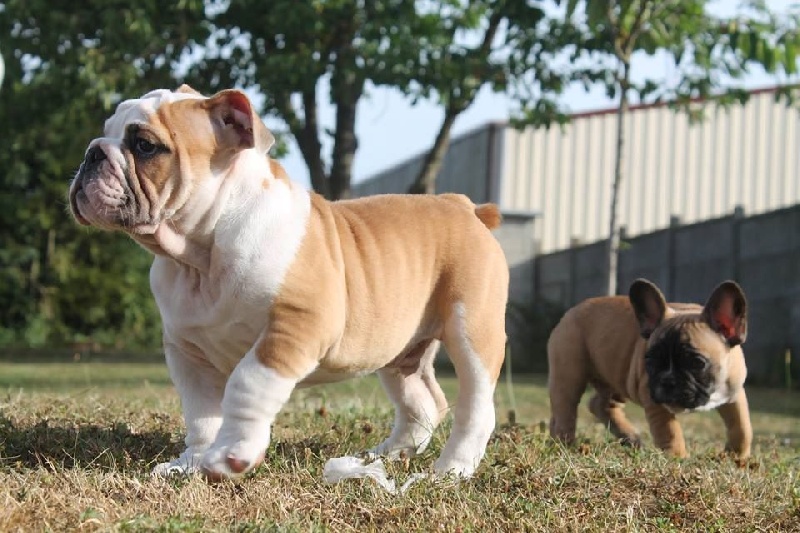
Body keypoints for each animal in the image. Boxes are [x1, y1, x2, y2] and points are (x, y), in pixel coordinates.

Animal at [67, 86, 506, 478]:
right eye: (105, 130)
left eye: (144, 145)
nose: (91, 152)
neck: (201, 256)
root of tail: (462, 205)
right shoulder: (188, 352)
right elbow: (201, 413)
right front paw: (190, 463)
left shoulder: (294, 326)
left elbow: (247, 383)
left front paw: (233, 455)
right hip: (402, 352)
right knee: (422, 402)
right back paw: (385, 455)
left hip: (472, 331)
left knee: (476, 408)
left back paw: (451, 469)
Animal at [548, 278, 752, 458]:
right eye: (651, 360)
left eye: (696, 362)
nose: (667, 381)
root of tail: (570, 312)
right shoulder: (655, 402)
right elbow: (670, 430)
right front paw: (677, 457)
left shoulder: (734, 394)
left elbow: (741, 426)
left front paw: (736, 456)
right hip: (570, 374)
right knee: (565, 408)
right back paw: (565, 443)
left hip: (616, 378)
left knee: (599, 404)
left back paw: (629, 437)